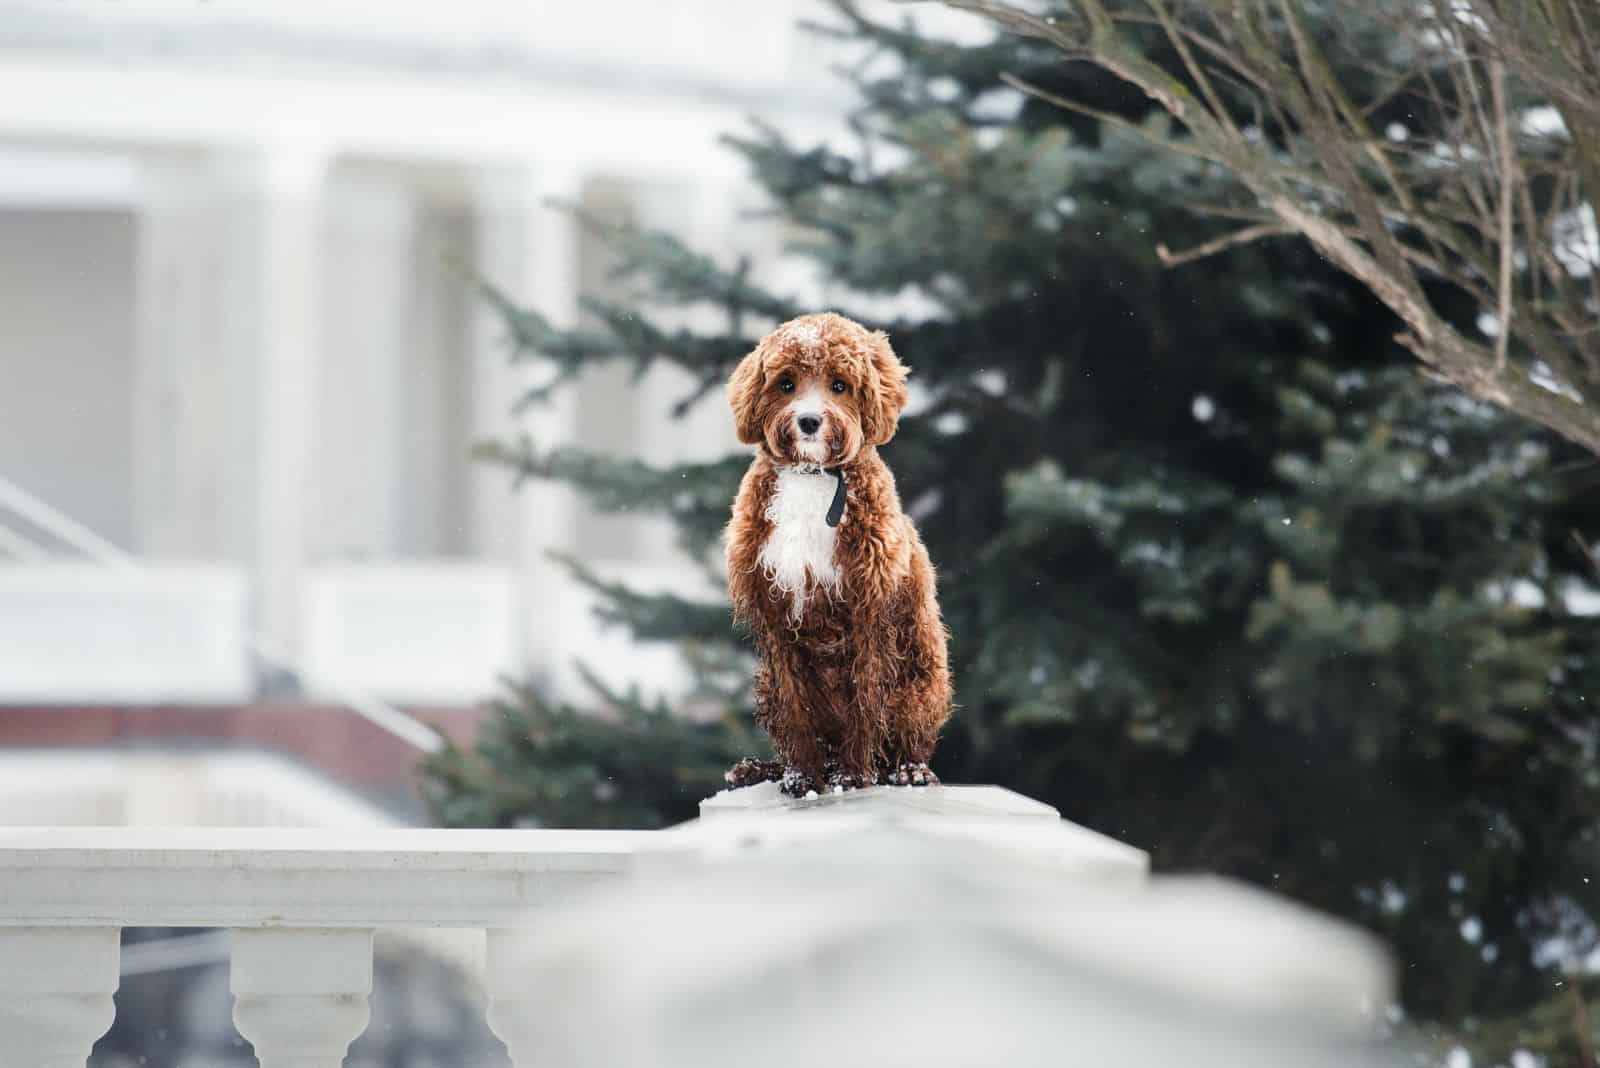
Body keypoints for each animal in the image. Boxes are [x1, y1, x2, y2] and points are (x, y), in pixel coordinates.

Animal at [723, 308, 947, 793]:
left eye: (840, 385)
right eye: (786, 383)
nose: (809, 421)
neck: (812, 477)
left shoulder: (870, 609)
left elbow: (866, 697)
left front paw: (853, 775)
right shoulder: (775, 614)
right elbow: (796, 709)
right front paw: (802, 778)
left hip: (921, 688)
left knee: (905, 740)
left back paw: (907, 770)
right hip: (765, 683)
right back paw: (760, 769)